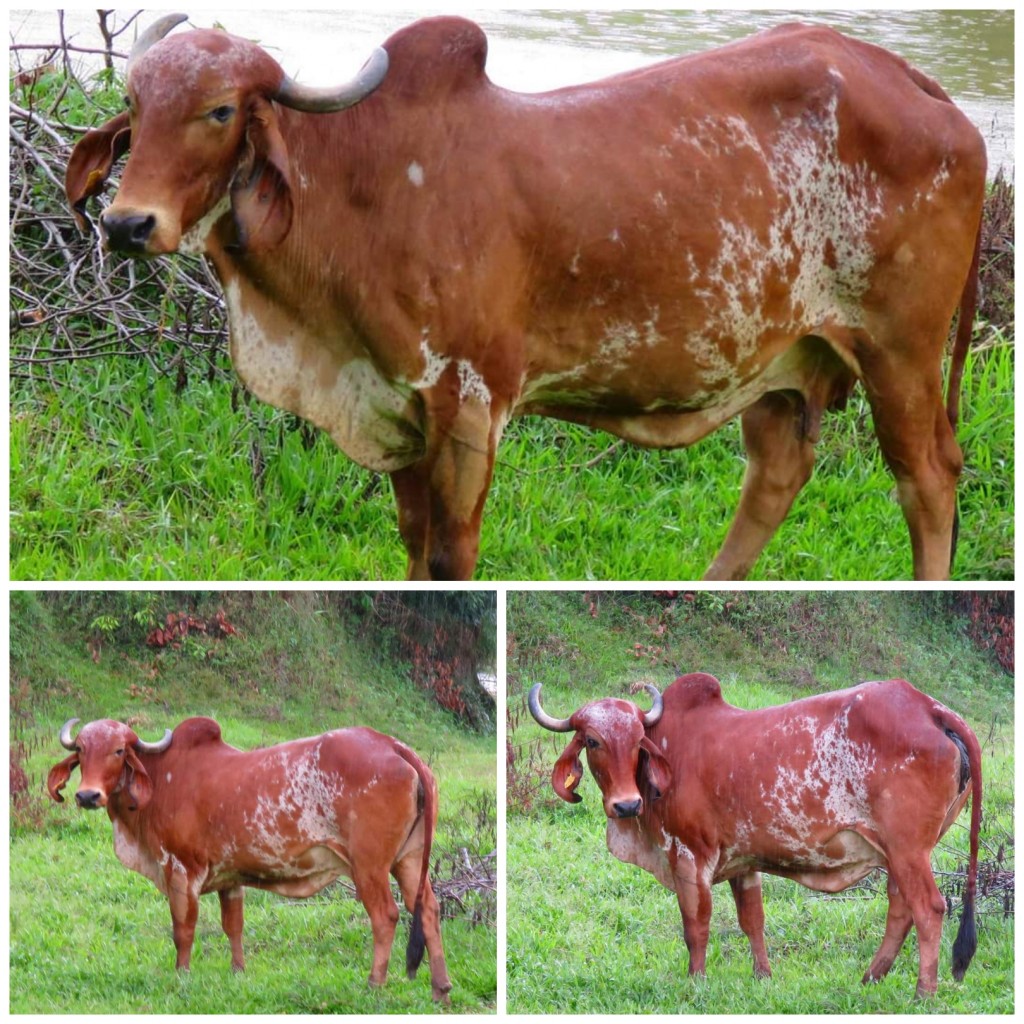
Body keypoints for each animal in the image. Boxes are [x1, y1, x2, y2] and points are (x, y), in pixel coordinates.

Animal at [46, 716, 453, 1001]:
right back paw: (440, 989)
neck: (160, 782)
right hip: (409, 860)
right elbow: (234, 927)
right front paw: (238, 972)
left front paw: (182, 975)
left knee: (386, 916)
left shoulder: (181, 871)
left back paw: (374, 985)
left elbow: (183, 930)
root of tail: (391, 744)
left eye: (118, 751)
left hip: (370, 867)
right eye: (80, 749)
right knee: (429, 910)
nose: (87, 795)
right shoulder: (231, 878)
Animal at [65, 15, 987, 580]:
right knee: (777, 474)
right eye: (135, 102)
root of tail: (918, 83)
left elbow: (451, 554)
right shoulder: (396, 405)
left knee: (928, 479)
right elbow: (413, 542)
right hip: (785, 364)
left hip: (900, 351)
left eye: (220, 110)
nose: (127, 223)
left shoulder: (470, 404)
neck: (362, 187)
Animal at [528, 675, 982, 998]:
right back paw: (871, 978)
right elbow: (753, 921)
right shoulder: (743, 863)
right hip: (899, 854)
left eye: (638, 741)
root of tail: (929, 707)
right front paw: (763, 976)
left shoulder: (689, 857)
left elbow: (696, 926)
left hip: (908, 851)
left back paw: (923, 992)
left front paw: (696, 982)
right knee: (900, 909)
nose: (626, 805)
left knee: (929, 909)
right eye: (592, 741)